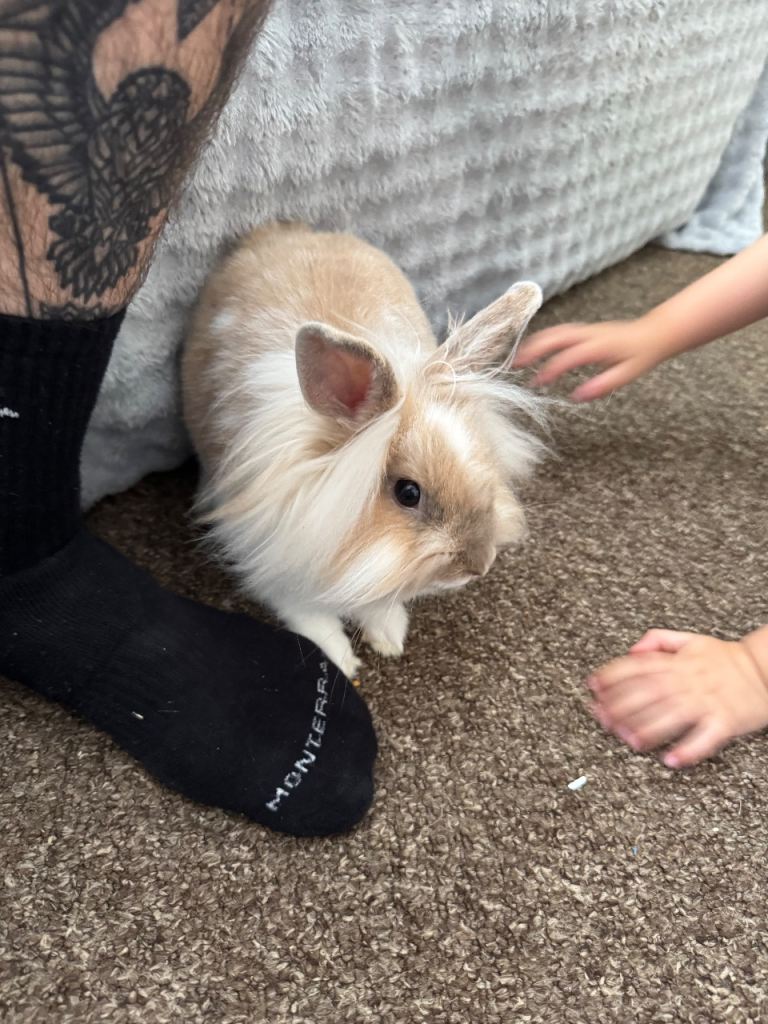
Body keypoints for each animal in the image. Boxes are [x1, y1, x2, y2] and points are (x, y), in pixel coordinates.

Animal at [182, 222, 545, 678]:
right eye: (408, 493)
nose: (477, 565)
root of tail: (277, 231)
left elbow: (378, 602)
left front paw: (388, 638)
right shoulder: (280, 566)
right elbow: (312, 619)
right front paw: (344, 661)